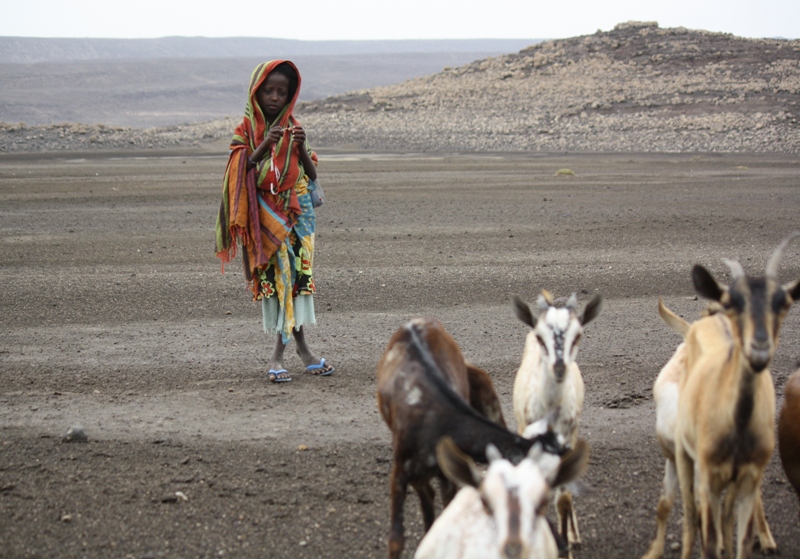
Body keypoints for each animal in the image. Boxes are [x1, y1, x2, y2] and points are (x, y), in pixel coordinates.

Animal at [512, 290, 600, 552]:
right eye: (540, 336)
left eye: (578, 335)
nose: (559, 367)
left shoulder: (567, 441)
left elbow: (563, 498)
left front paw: (566, 545)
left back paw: (574, 536)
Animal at [672, 232, 796, 559]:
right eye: (732, 301)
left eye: (784, 302)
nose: (759, 347)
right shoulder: (709, 478)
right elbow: (708, 537)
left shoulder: (749, 478)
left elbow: (740, 538)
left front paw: (758, 540)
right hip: (685, 456)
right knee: (691, 514)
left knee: (726, 517)